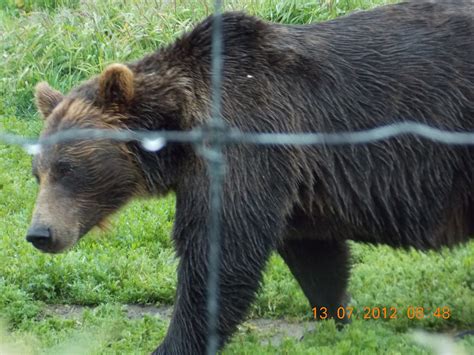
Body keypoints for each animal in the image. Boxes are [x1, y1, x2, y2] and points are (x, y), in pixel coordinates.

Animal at [26, 1, 474, 354]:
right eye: (37, 173)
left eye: (68, 168)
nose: (40, 233)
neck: (180, 132)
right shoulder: (298, 182)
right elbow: (316, 254)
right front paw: (337, 319)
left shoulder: (249, 139)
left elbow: (222, 249)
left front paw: (172, 344)